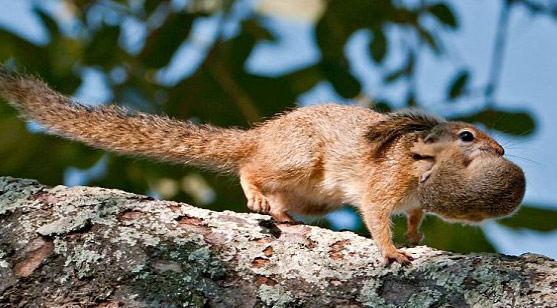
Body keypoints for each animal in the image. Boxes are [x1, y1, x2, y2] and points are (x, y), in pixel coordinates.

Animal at [0, 69, 524, 264]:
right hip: (298, 158)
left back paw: (282, 212)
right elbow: (376, 214)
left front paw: (414, 233)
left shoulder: (413, 196)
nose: (501, 150)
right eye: (467, 136)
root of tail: (262, 135)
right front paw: (392, 250)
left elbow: (412, 214)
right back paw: (256, 191)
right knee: (252, 167)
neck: (423, 169)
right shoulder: (387, 178)